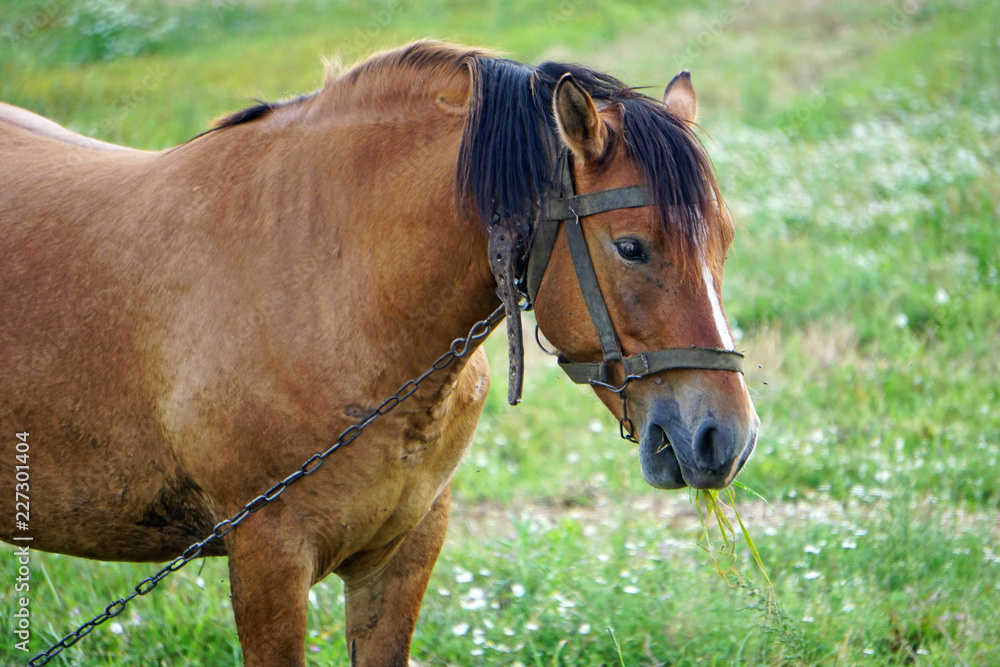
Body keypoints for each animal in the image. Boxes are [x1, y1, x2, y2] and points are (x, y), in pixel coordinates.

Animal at [0, 41, 756, 667]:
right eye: (631, 246)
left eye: (725, 239)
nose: (727, 439)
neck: (324, 282)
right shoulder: (267, 557)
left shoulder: (401, 553)